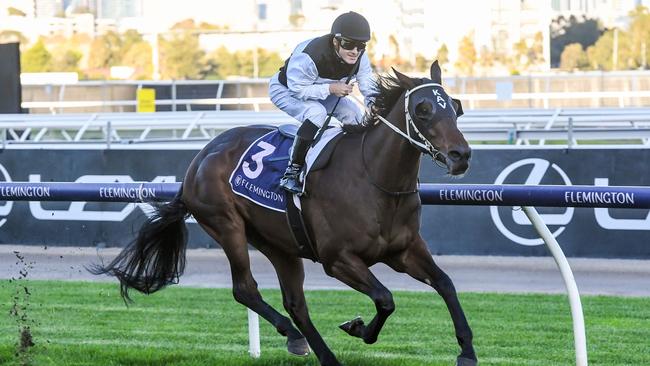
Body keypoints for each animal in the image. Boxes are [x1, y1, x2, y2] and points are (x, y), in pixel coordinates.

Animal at [91, 61, 476, 364]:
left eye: (455, 107)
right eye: (423, 108)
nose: (460, 156)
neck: (374, 178)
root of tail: (197, 162)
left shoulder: (404, 250)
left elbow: (445, 283)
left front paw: (467, 351)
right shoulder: (338, 259)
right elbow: (385, 298)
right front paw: (358, 328)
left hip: (279, 244)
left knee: (295, 303)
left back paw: (316, 350)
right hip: (227, 225)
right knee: (245, 289)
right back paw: (293, 336)